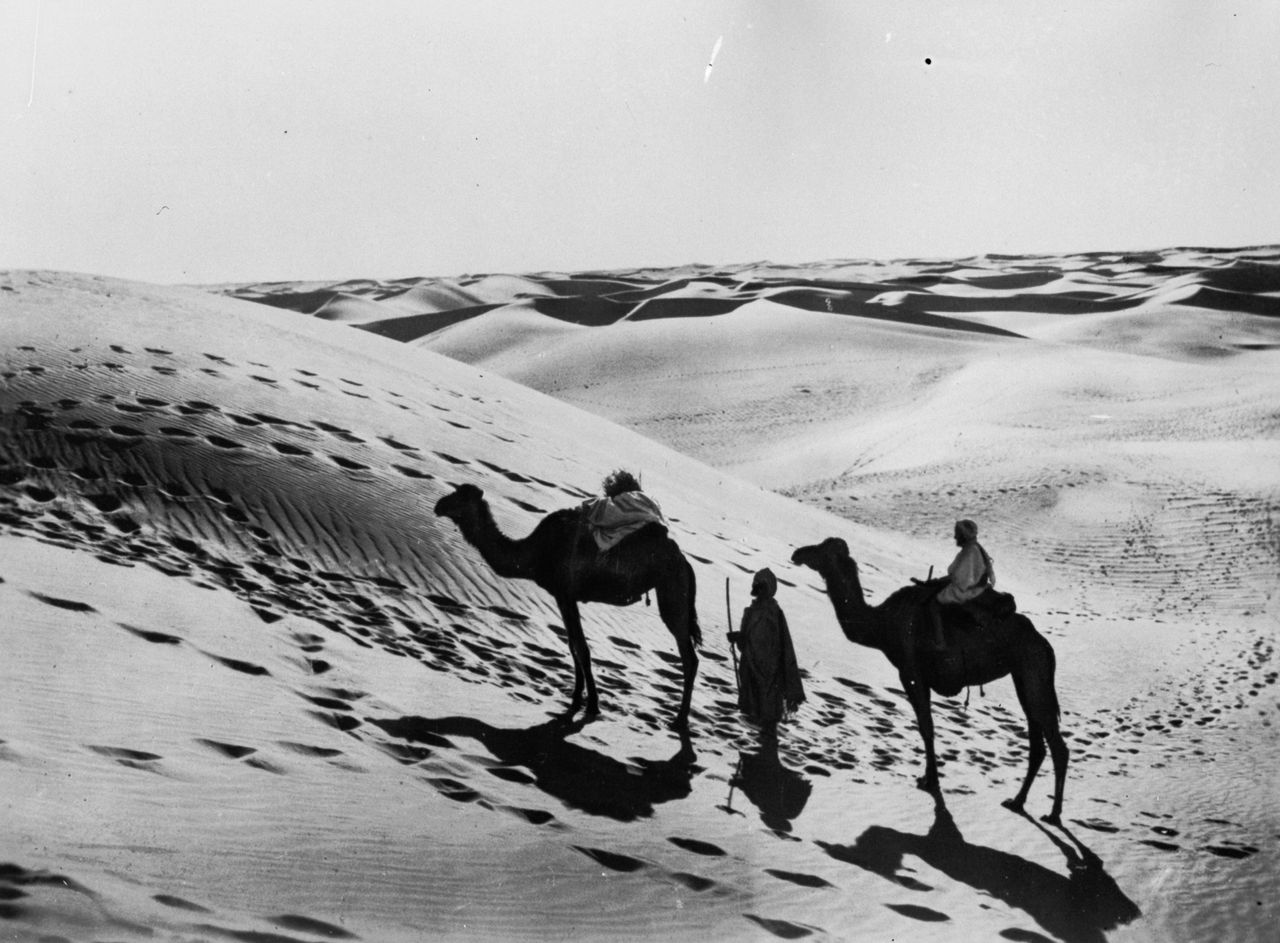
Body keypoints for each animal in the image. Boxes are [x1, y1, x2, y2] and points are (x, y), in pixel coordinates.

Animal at [432, 486, 701, 726]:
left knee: (689, 657)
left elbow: (582, 648)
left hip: (672, 591)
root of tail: (684, 562)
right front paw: (575, 699)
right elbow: (573, 646)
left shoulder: (566, 593)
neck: (534, 553)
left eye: (461, 496)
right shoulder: (561, 596)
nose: (439, 505)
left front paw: (592, 705)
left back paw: (679, 720)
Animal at [788, 537, 1070, 824]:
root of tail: (1043, 643)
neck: (883, 624)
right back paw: (1017, 801)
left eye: (821, 549)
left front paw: (929, 780)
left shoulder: (910, 673)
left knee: (1056, 745)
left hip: (1033, 670)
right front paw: (929, 776)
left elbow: (926, 726)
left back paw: (1053, 814)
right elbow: (928, 725)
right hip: (1024, 677)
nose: (797, 553)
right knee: (1037, 743)